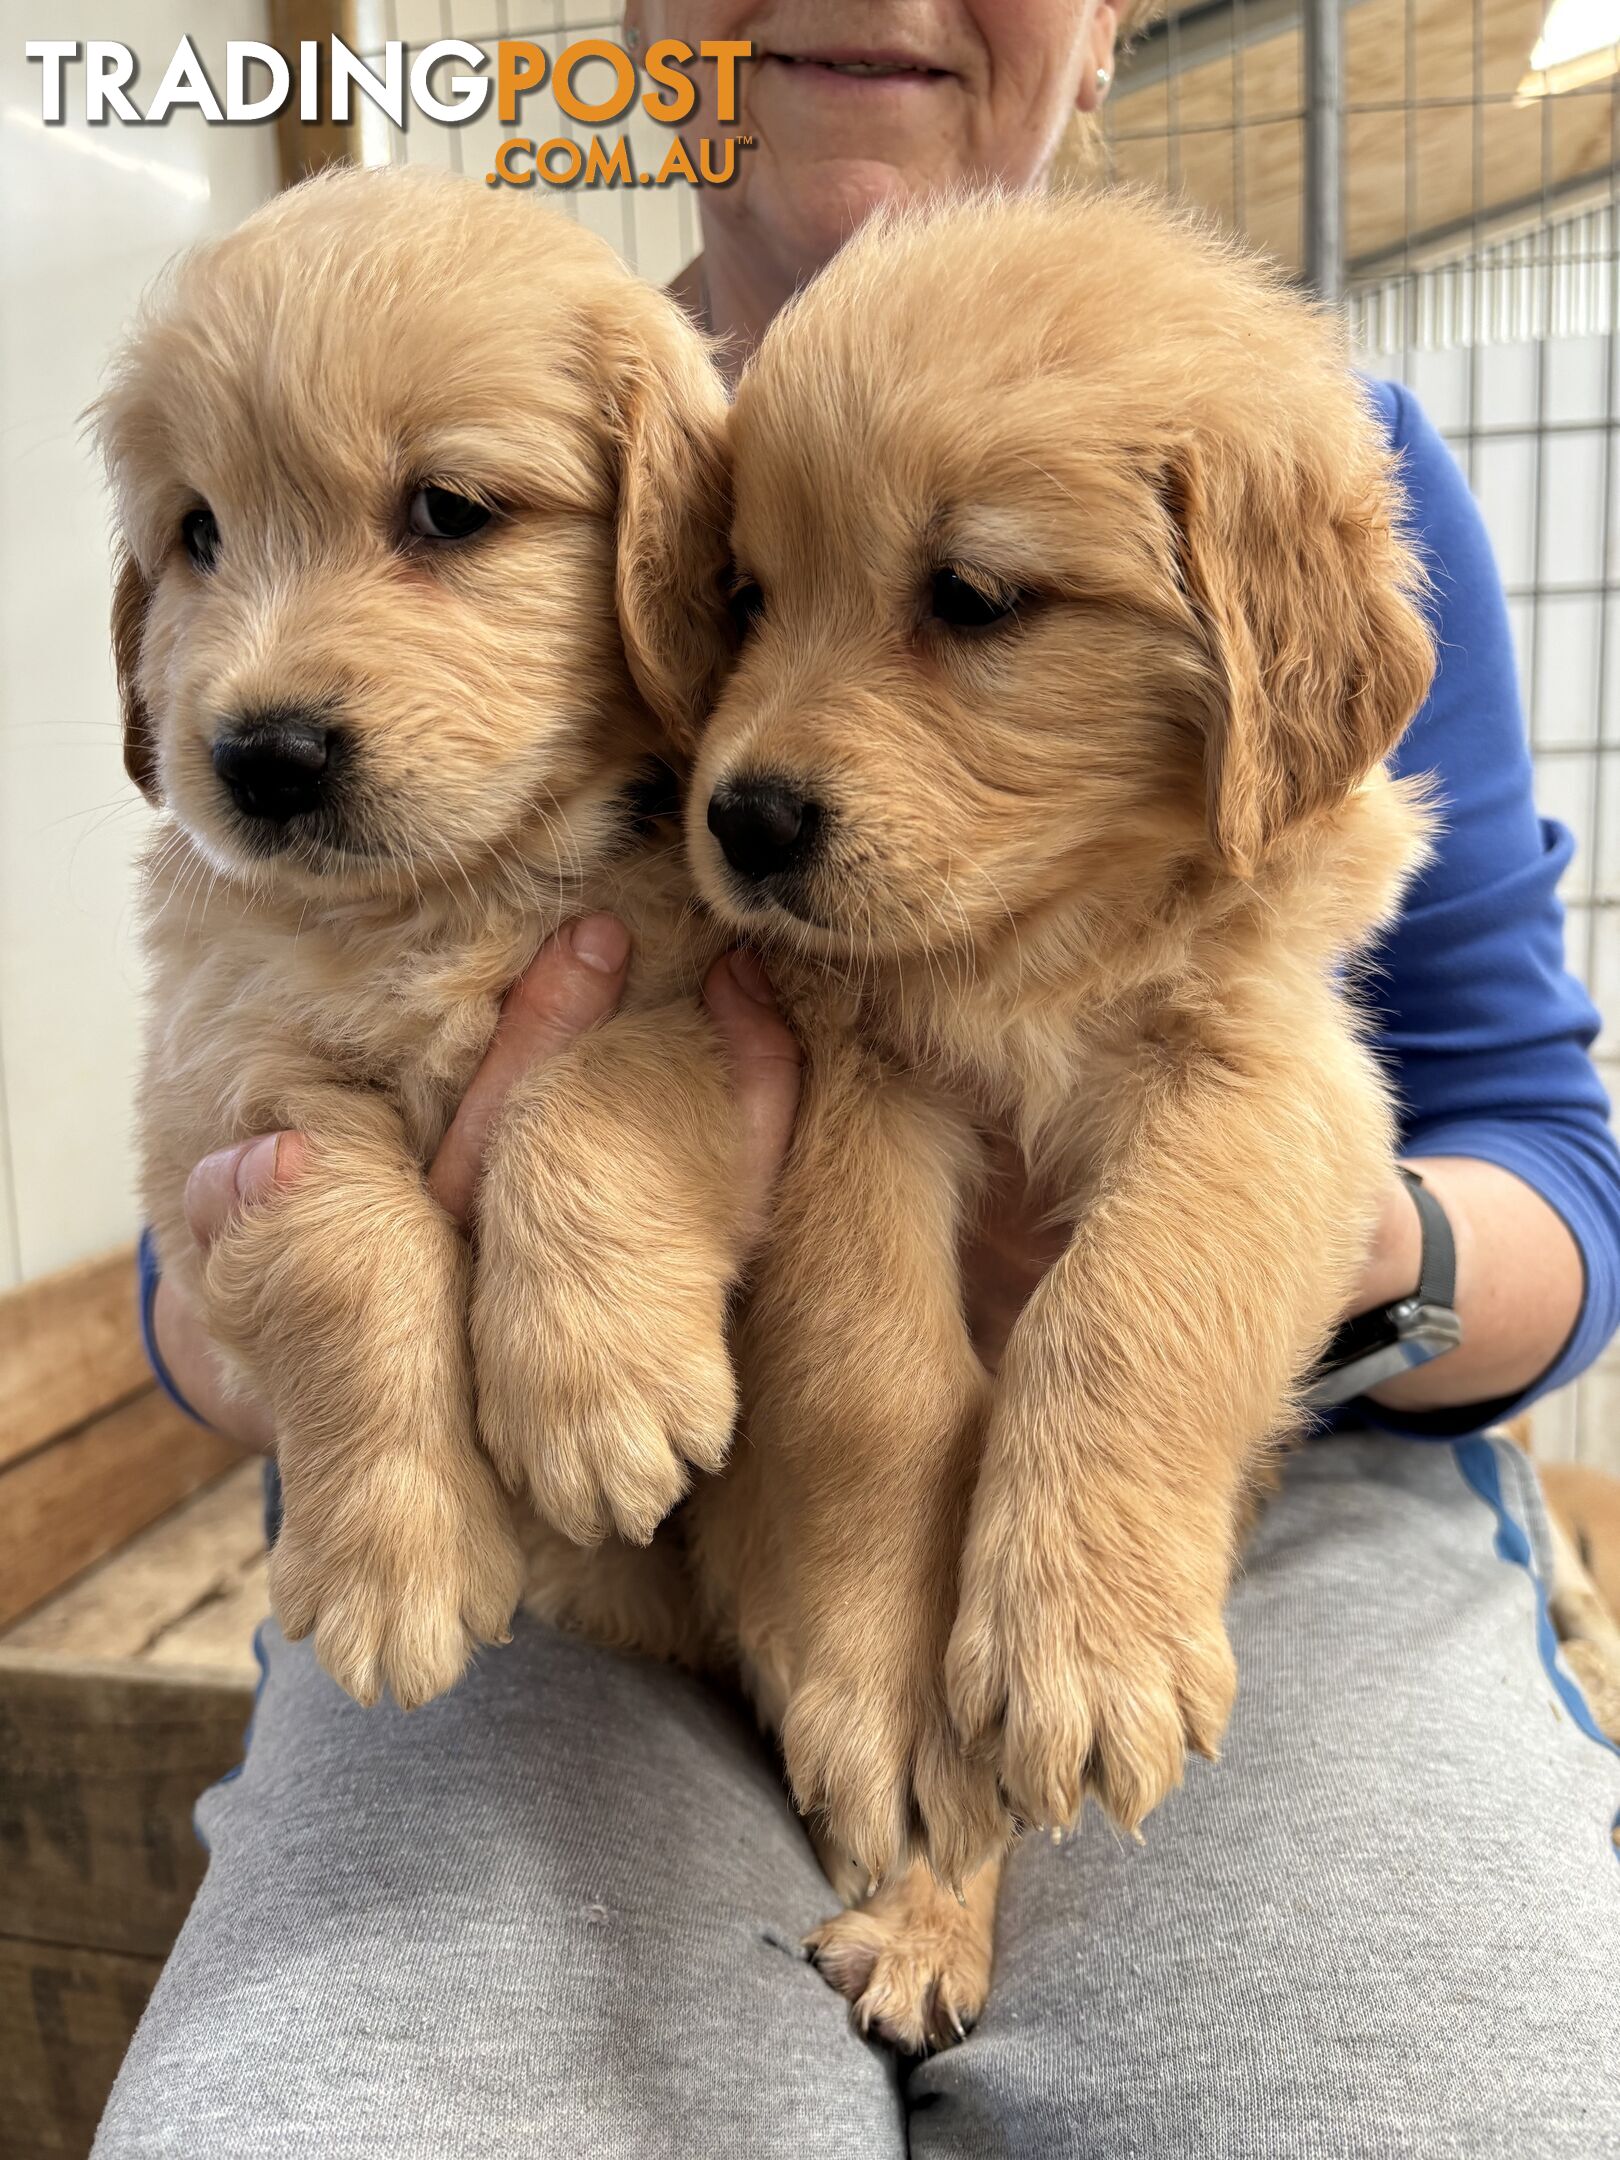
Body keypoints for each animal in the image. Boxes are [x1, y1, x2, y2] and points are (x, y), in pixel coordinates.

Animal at [95, 168, 743, 1710]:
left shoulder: (703, 983)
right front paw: (396, 1563)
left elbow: (589, 1090)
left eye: (448, 510)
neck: (451, 893)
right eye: (198, 534)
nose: (260, 759)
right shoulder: (224, 1102)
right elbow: (346, 1240)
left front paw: (602, 1391)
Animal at [678, 194, 1442, 2047]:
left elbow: (1124, 1299)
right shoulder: (850, 1074)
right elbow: (874, 1369)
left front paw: (1082, 1643)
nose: (741, 822)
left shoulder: (1275, 1080)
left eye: (974, 598)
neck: (1044, 929)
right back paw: (917, 1904)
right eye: (747, 593)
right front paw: (886, 1679)